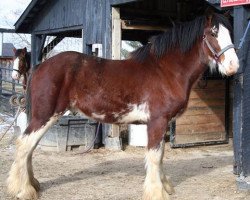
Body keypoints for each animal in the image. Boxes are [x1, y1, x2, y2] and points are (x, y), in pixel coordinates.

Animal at [7, 12, 238, 200]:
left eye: (230, 32)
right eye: (213, 33)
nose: (233, 66)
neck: (165, 70)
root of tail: (40, 67)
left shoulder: (159, 123)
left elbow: (160, 154)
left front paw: (165, 186)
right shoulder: (157, 121)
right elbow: (155, 156)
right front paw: (156, 192)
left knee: (29, 148)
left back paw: (33, 185)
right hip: (45, 116)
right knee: (24, 145)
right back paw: (23, 190)